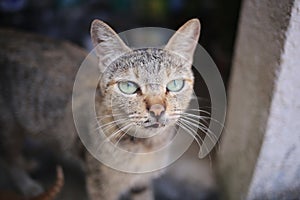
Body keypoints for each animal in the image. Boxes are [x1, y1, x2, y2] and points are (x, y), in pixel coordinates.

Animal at [0, 18, 202, 199]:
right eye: (128, 86)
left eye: (175, 84)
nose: (157, 110)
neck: (146, 146)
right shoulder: (101, 184)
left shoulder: (141, 183)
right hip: (9, 125)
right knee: (9, 157)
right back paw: (27, 185)